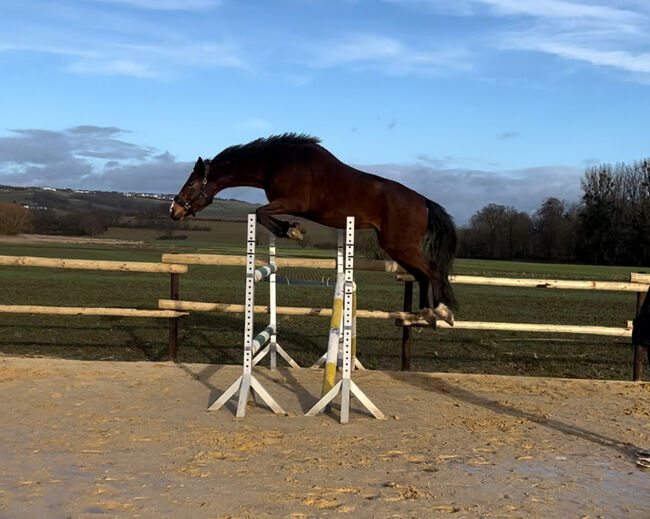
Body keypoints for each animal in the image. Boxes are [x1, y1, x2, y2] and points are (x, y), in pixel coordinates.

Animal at [170, 133, 458, 324]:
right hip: (399, 248)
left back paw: (442, 310)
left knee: (431, 270)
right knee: (422, 274)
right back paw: (424, 314)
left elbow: (260, 212)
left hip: (398, 245)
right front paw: (293, 228)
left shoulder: (292, 202)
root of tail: (423, 202)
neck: (276, 162)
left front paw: (292, 230)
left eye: (191, 184)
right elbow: (262, 214)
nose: (174, 211)